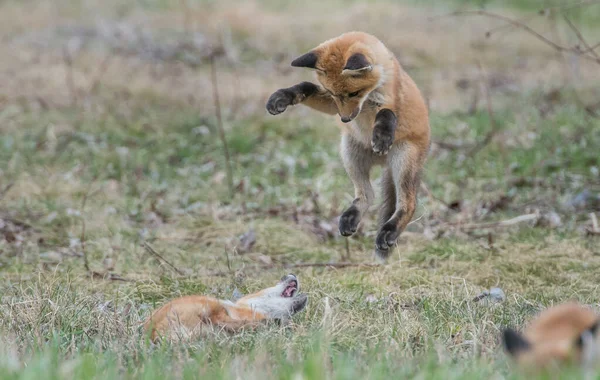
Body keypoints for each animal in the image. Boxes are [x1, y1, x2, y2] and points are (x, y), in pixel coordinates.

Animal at [268, 32, 432, 260]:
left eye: (354, 93)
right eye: (333, 92)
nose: (345, 119)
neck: (369, 99)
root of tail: (384, 163)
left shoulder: (390, 99)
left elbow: (387, 113)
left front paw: (382, 136)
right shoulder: (332, 104)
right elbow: (306, 87)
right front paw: (282, 97)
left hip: (403, 160)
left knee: (408, 204)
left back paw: (389, 230)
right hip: (349, 151)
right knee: (367, 195)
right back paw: (351, 217)